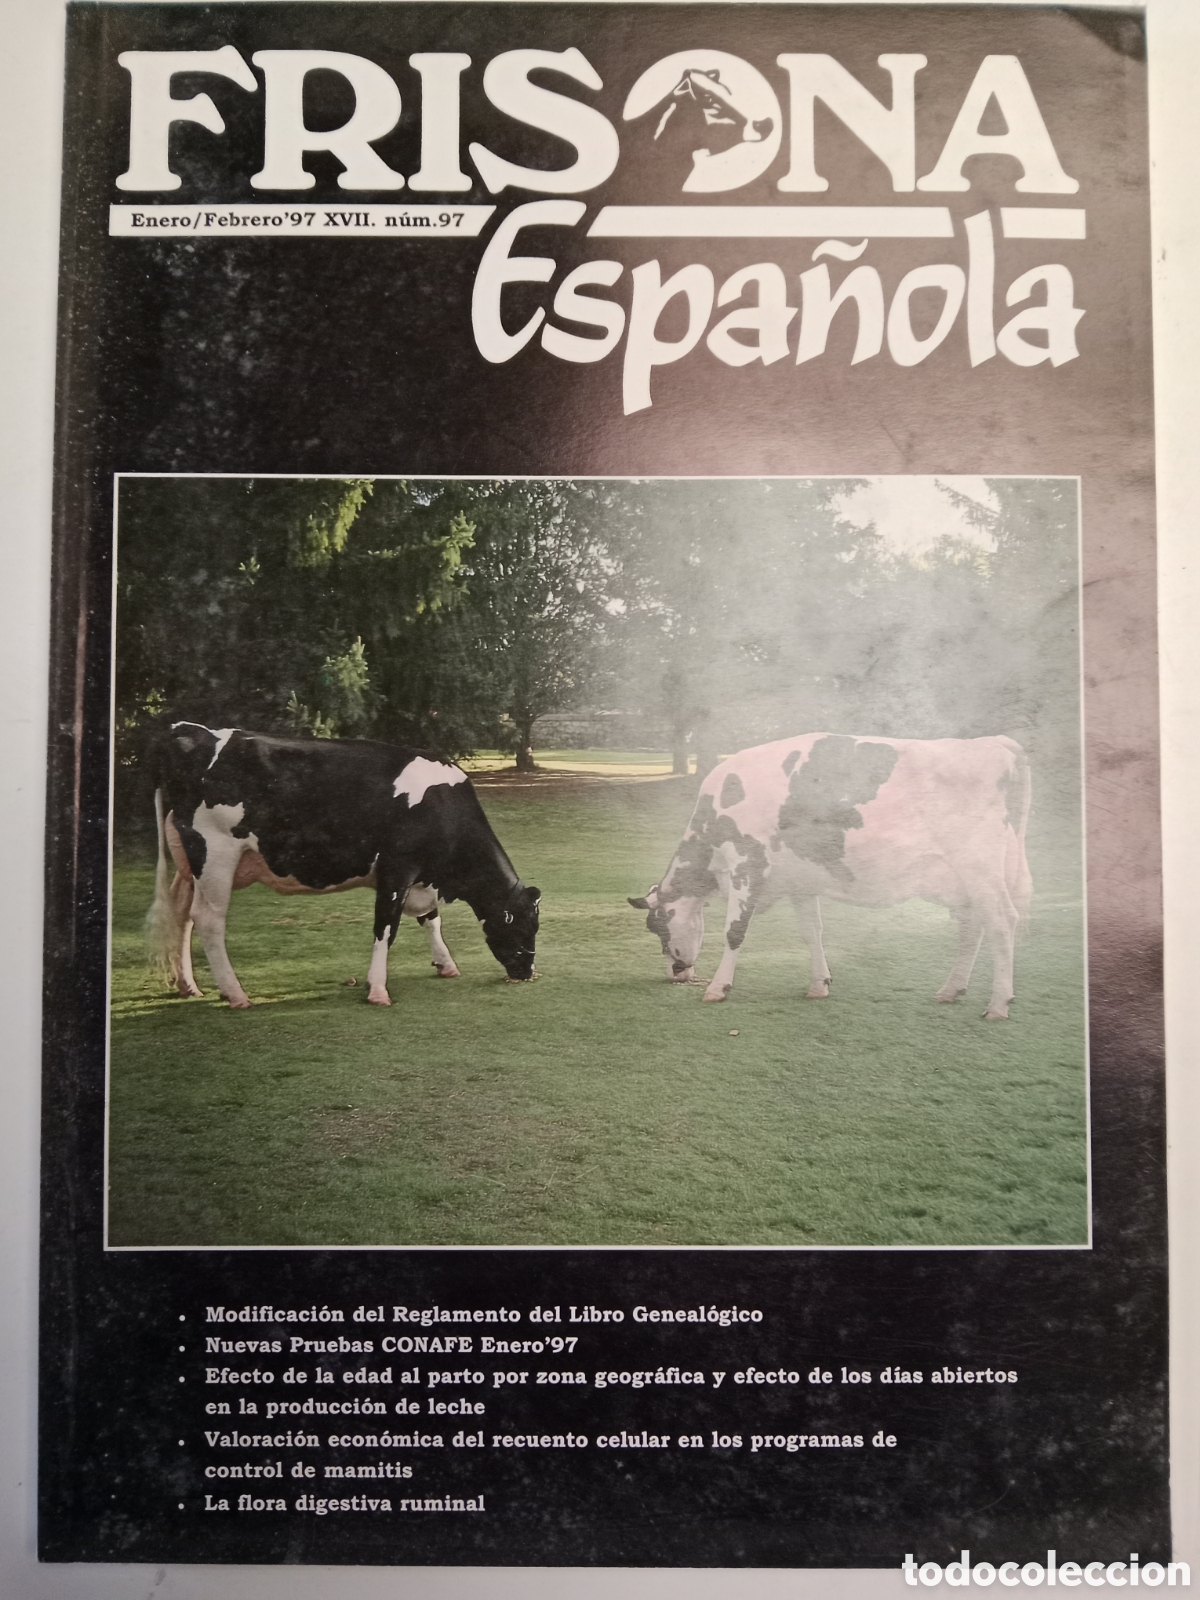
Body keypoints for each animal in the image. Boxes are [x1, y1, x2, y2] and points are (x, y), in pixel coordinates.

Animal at [146, 723, 540, 1008]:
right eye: (525, 927)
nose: (527, 971)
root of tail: (188, 730)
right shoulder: (397, 869)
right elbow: (386, 927)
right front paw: (378, 989)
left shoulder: (420, 877)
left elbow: (431, 920)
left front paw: (446, 964)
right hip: (215, 853)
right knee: (208, 920)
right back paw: (237, 994)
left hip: (189, 864)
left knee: (182, 915)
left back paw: (189, 986)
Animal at [630, 734, 1032, 1021]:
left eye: (657, 925)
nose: (675, 972)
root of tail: (995, 742)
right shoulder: (801, 882)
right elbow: (812, 932)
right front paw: (819, 984)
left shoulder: (747, 863)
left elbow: (734, 932)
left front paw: (717, 987)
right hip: (961, 880)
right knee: (972, 927)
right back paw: (951, 990)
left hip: (979, 867)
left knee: (1002, 922)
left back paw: (998, 1004)